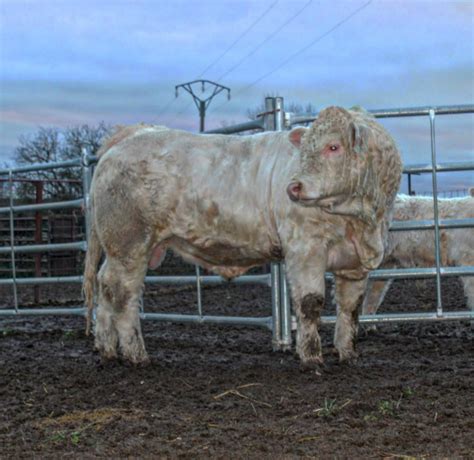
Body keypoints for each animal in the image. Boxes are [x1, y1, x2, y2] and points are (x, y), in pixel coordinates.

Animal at [83, 106, 402, 368]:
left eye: (333, 146)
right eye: (304, 150)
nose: (294, 187)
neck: (361, 222)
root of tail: (131, 135)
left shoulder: (355, 263)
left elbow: (350, 308)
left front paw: (348, 353)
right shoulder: (305, 248)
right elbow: (310, 303)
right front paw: (312, 357)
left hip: (120, 247)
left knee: (105, 286)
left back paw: (107, 349)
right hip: (130, 243)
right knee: (123, 292)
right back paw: (136, 354)